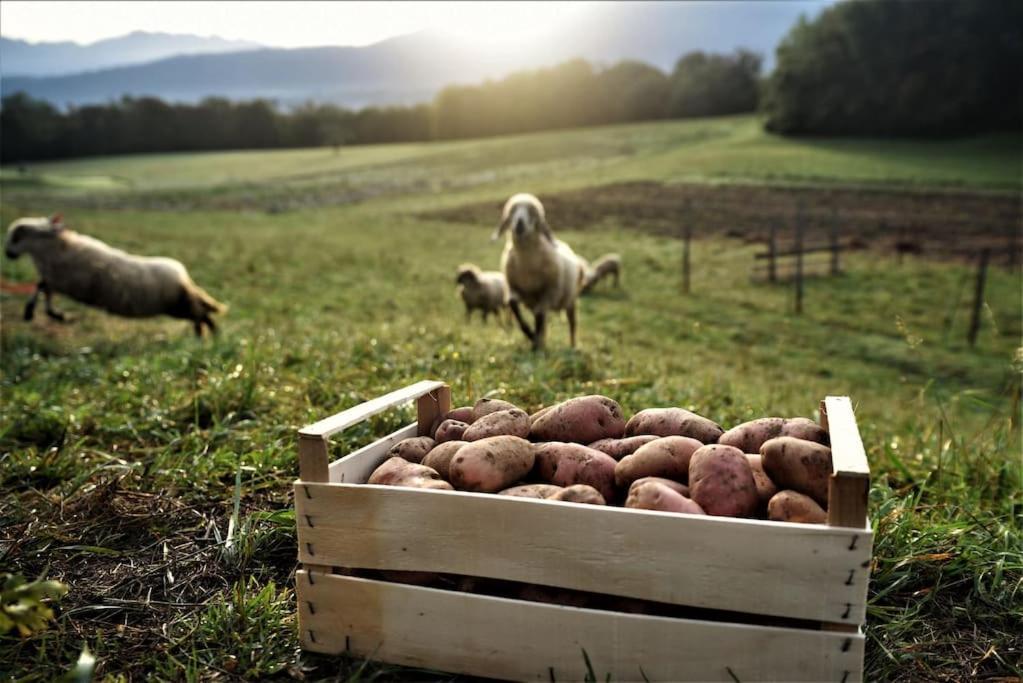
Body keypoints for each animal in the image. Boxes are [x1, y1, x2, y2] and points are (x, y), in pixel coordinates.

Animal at [1, 214, 226, 337]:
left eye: (17, 236)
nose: (7, 254)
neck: (53, 248)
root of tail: (183, 276)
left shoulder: (59, 279)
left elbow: (40, 288)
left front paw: (37, 312)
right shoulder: (54, 279)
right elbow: (42, 290)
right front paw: (51, 314)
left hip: (178, 304)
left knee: (200, 313)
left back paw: (207, 335)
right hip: (180, 303)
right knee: (201, 312)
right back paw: (210, 335)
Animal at [493, 193, 589, 349]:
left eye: (532, 213)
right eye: (512, 211)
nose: (519, 223)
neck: (526, 261)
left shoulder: (547, 293)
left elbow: (539, 317)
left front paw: (534, 341)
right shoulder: (514, 288)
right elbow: (514, 305)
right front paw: (531, 335)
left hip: (571, 299)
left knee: (572, 323)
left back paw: (572, 345)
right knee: (543, 320)